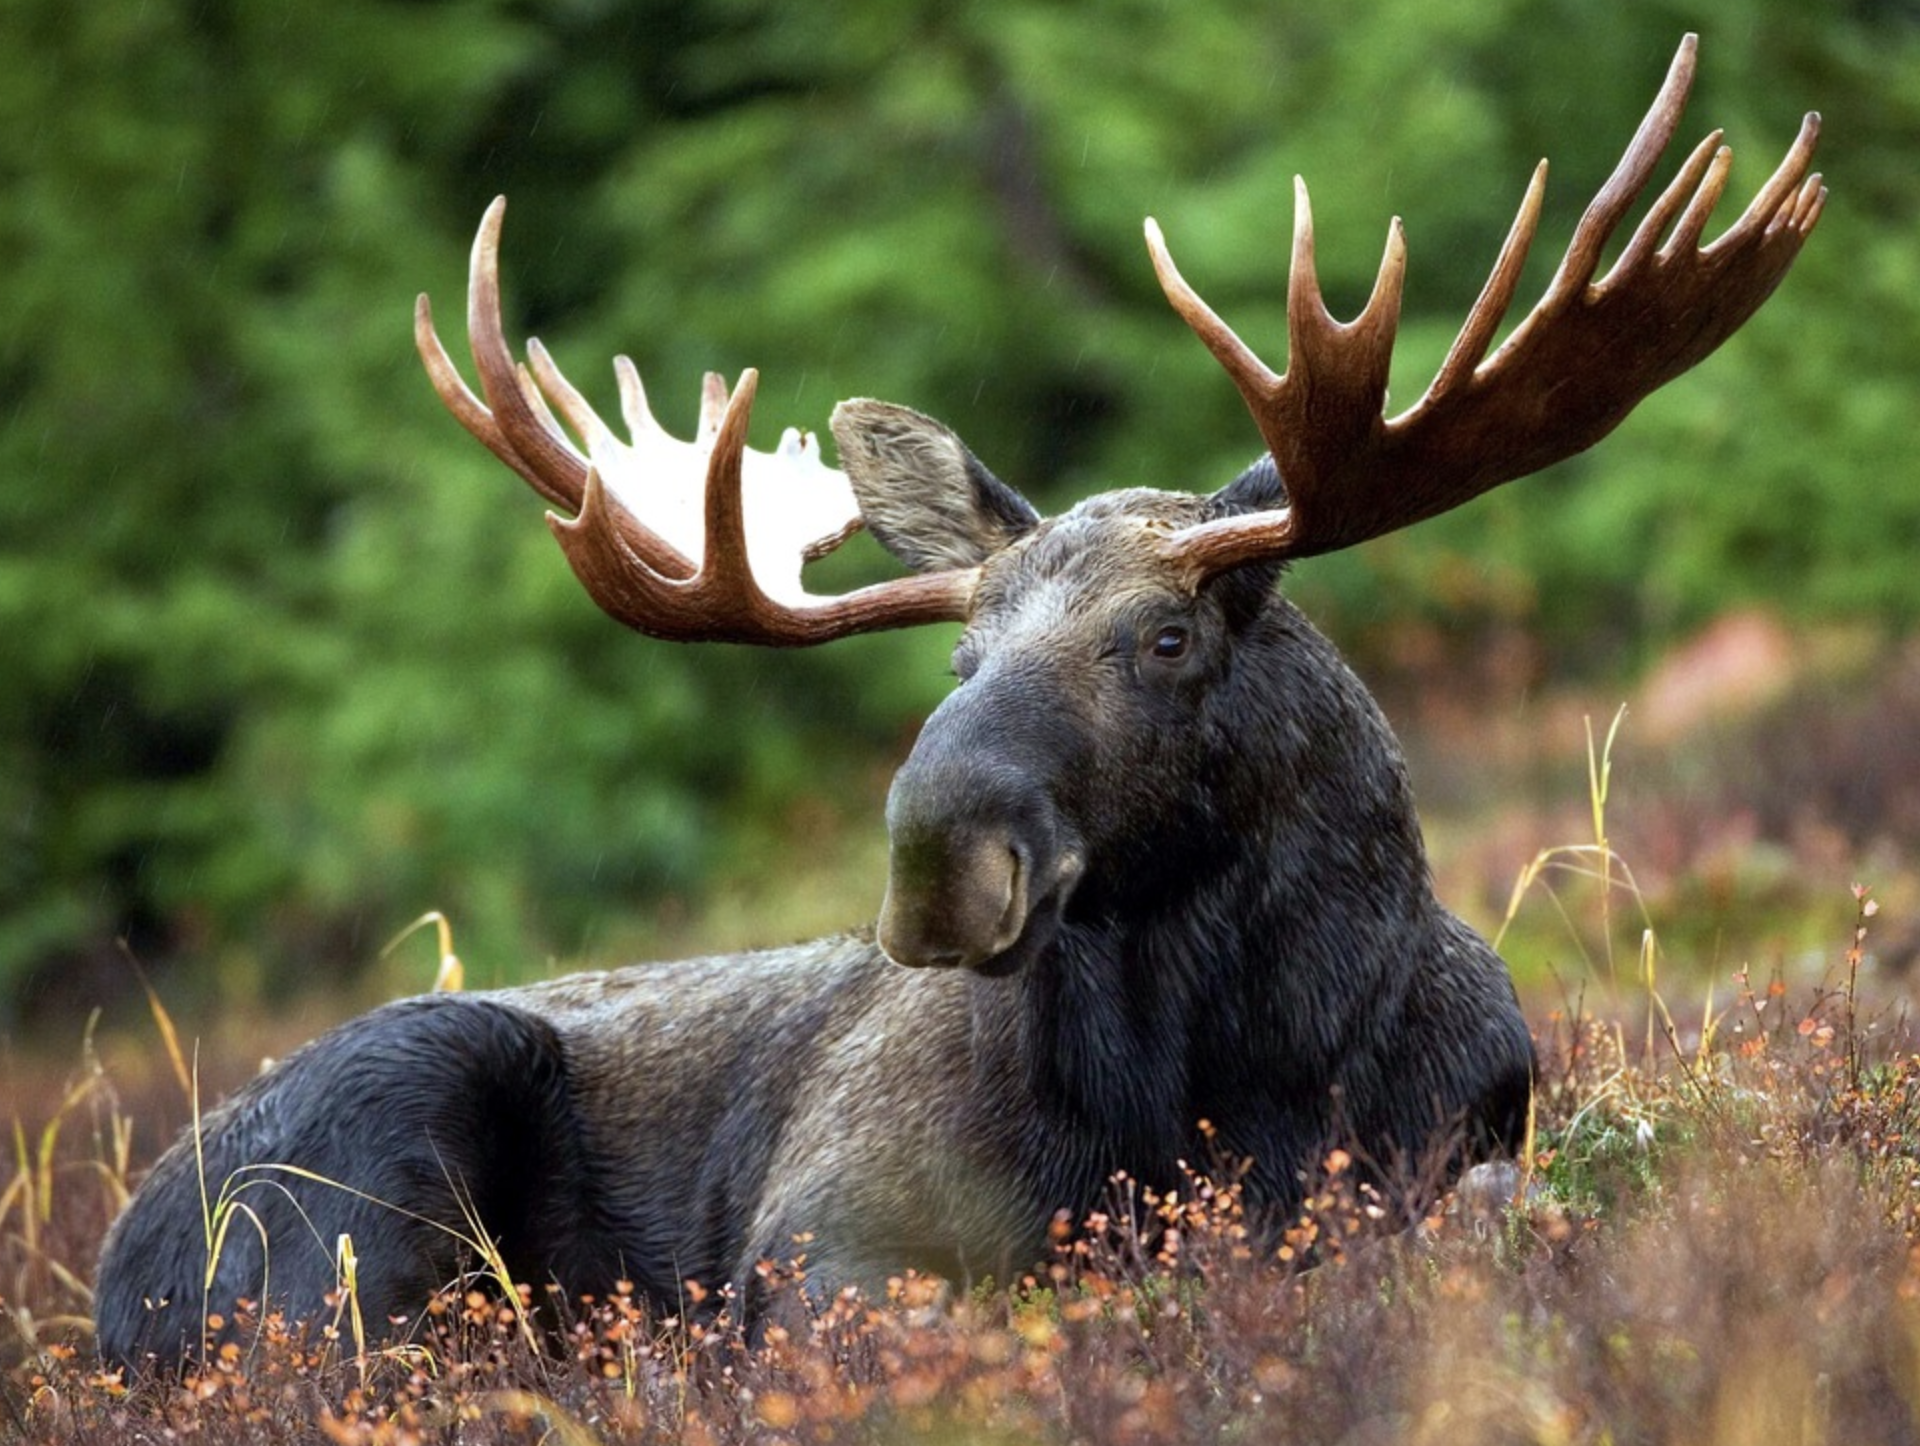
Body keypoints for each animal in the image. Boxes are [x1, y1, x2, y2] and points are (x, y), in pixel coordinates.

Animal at [95, 35, 1822, 1371]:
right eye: (958, 657)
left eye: (1167, 637)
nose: (938, 856)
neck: (1231, 1079)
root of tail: (109, 1276)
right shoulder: (823, 1236)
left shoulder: (1463, 1145)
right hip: (374, 1161)